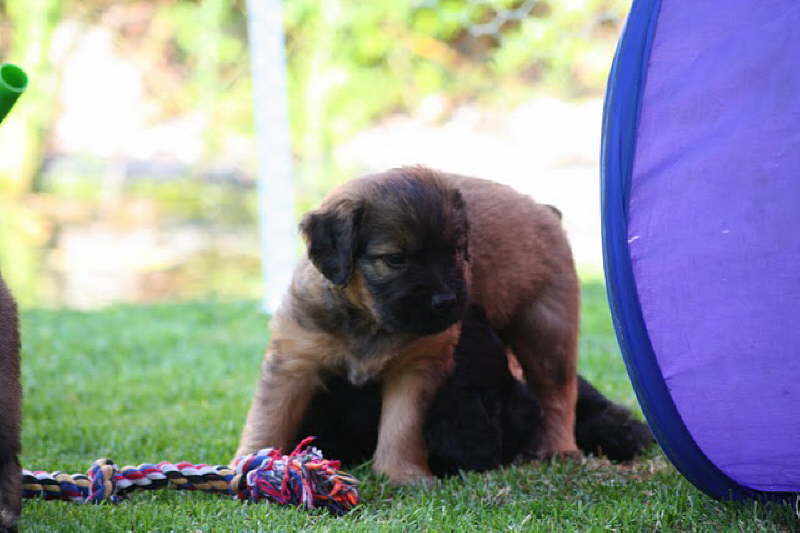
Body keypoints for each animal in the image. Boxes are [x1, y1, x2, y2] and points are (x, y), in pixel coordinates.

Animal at [234, 166, 580, 482]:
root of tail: (543, 209)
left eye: (455, 251)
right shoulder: (295, 359)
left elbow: (401, 427)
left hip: (546, 330)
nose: (446, 301)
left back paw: (558, 448)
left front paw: (401, 474)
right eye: (395, 259)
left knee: (557, 394)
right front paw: (248, 465)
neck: (368, 319)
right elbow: (269, 418)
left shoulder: (416, 368)